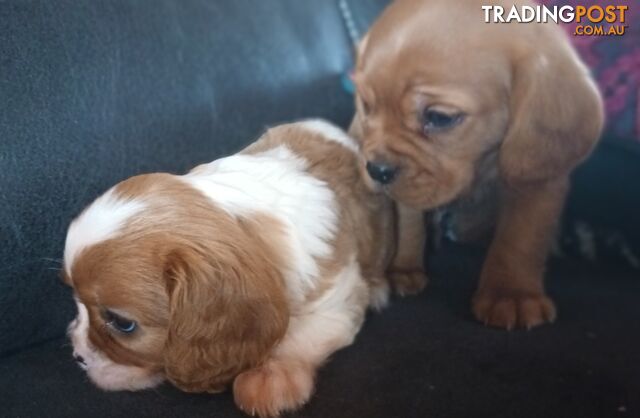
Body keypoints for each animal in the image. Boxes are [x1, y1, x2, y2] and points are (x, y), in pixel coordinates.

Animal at [62, 119, 398, 416]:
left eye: (122, 323)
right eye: (76, 300)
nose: (77, 356)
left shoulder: (338, 298)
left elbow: (300, 333)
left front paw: (270, 376)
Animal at [350, 0, 604, 330]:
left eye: (439, 117)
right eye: (367, 106)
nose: (377, 170)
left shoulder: (536, 179)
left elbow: (519, 237)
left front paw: (512, 294)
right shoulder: (413, 188)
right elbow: (408, 224)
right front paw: (401, 269)